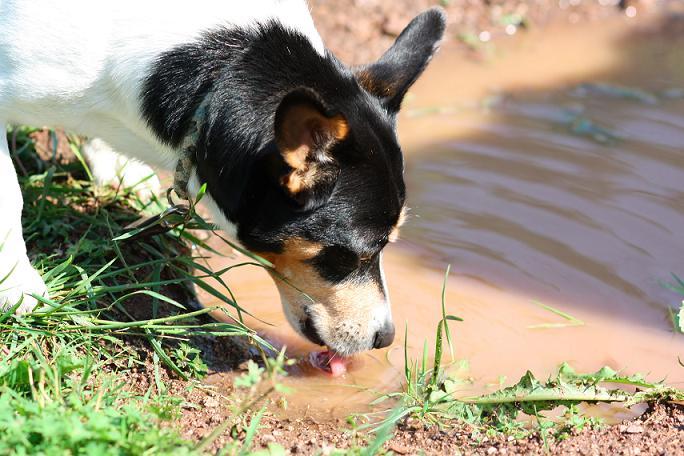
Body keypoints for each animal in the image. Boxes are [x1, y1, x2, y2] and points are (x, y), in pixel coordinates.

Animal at [0, 0, 446, 356]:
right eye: (357, 254)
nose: (387, 338)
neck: (218, 73)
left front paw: (116, 167)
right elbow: (9, 197)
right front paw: (16, 287)